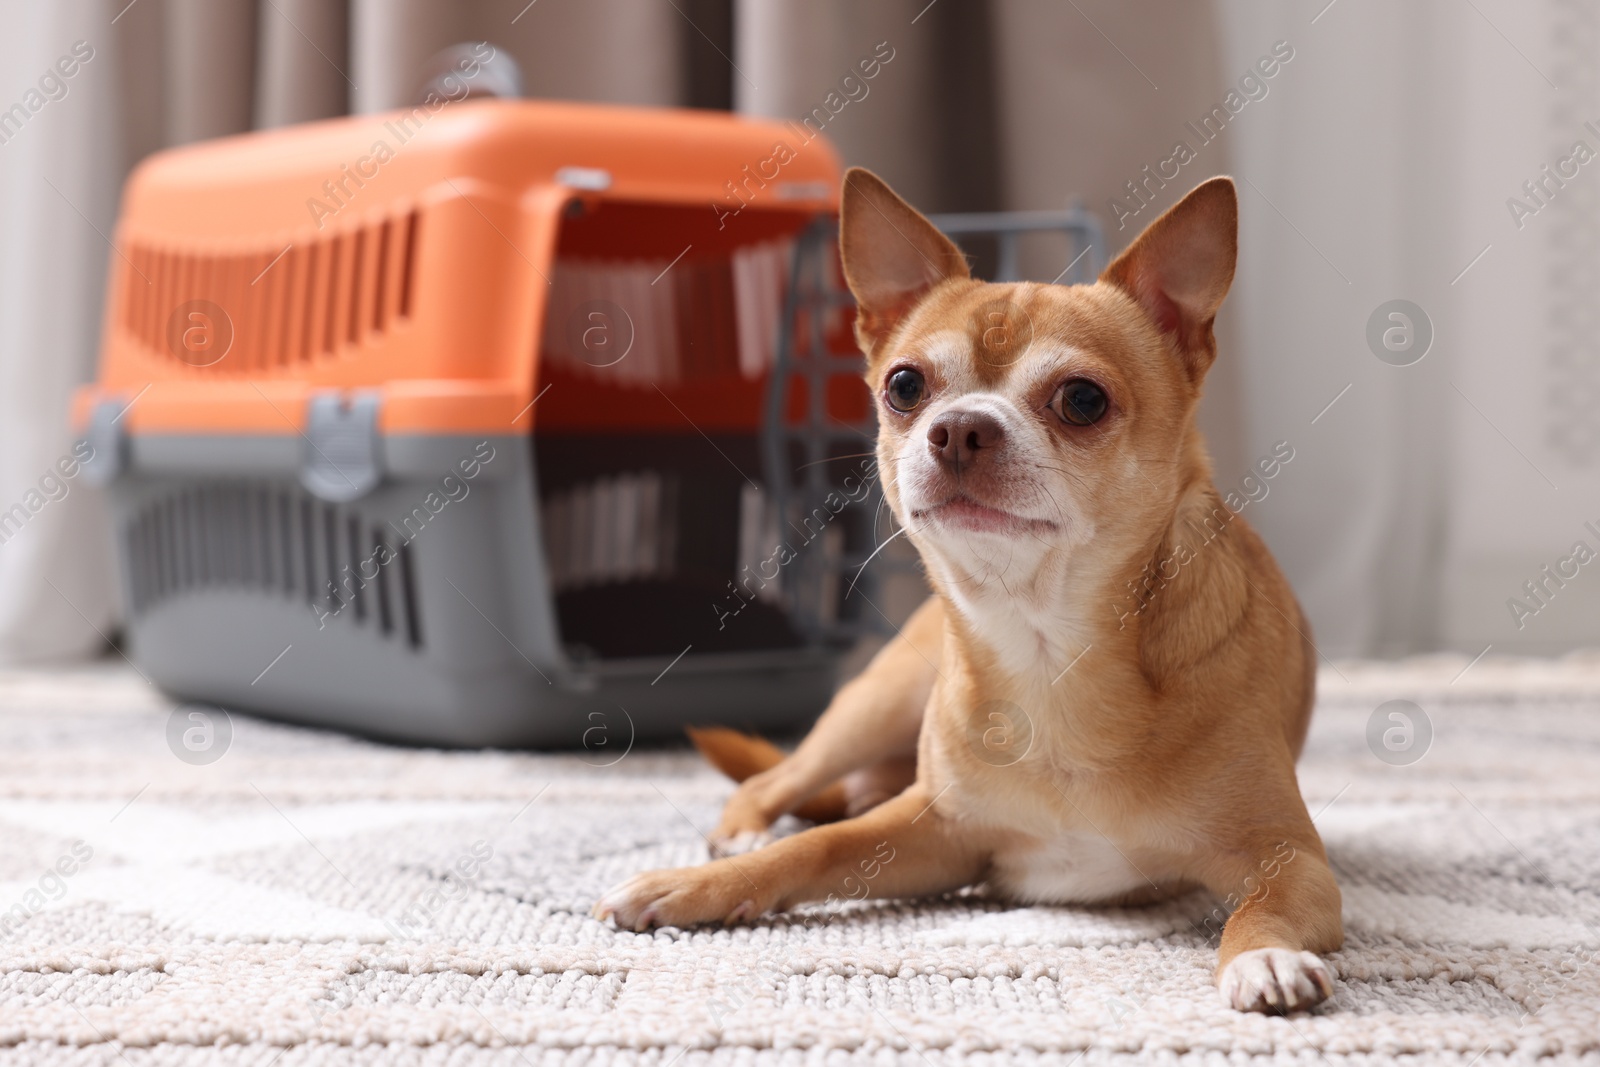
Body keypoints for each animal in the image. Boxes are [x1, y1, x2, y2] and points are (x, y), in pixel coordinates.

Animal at [595, 171, 1344, 1017]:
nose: (957, 427)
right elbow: (813, 846)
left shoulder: (1290, 858)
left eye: (1083, 400)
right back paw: (746, 829)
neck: (1047, 646)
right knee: (777, 780)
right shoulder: (936, 831)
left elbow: (1260, 908)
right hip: (874, 704)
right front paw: (696, 884)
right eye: (904, 386)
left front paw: (1265, 956)